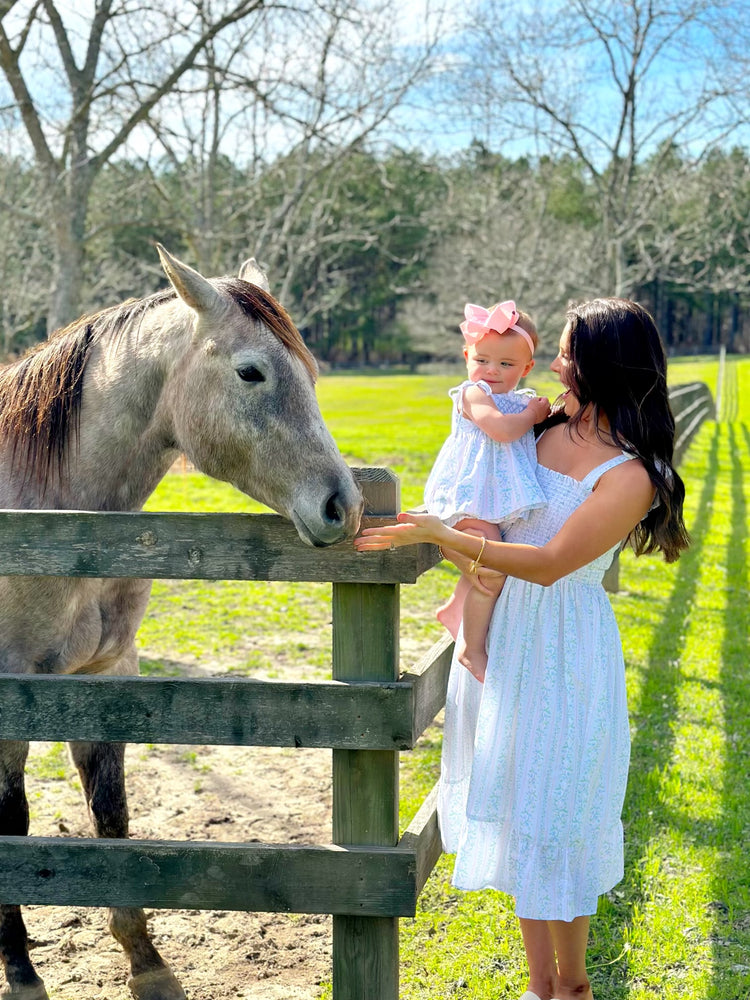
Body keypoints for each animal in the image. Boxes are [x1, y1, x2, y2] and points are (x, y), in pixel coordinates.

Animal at [0, 244, 364, 1000]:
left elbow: (112, 815)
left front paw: (148, 965)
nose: (343, 505)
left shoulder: (106, 677)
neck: (46, 522)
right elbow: (12, 824)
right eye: (251, 371)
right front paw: (20, 972)